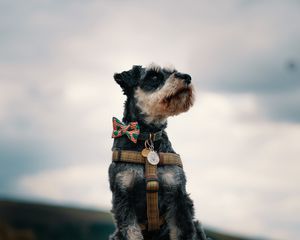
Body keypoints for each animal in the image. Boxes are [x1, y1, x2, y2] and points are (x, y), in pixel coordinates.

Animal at [108, 62, 209, 239]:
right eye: (154, 76)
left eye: (173, 71)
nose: (187, 77)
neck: (148, 138)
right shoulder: (123, 196)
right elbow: (132, 231)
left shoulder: (177, 195)